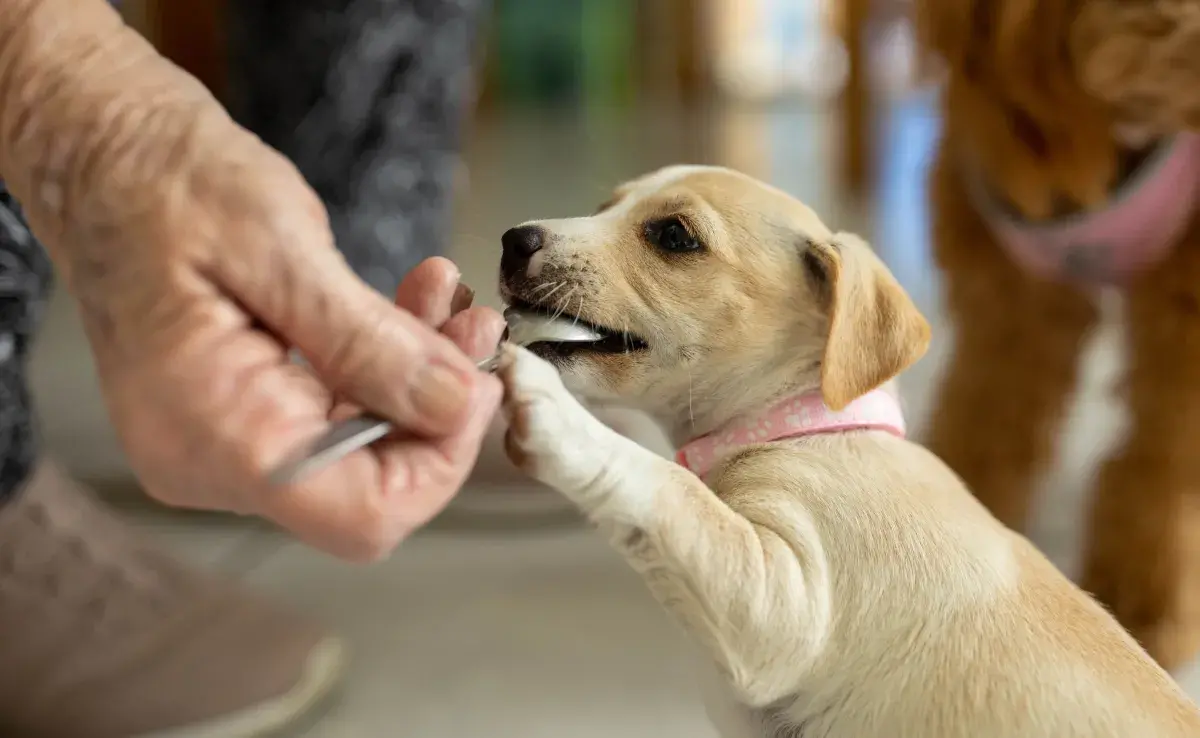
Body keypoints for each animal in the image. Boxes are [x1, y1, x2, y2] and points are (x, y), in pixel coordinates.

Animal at [489, 168, 1200, 738]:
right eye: (606, 206)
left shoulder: (780, 605)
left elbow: (669, 487)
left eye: (673, 236)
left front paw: (553, 410)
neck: (801, 429)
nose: (513, 240)